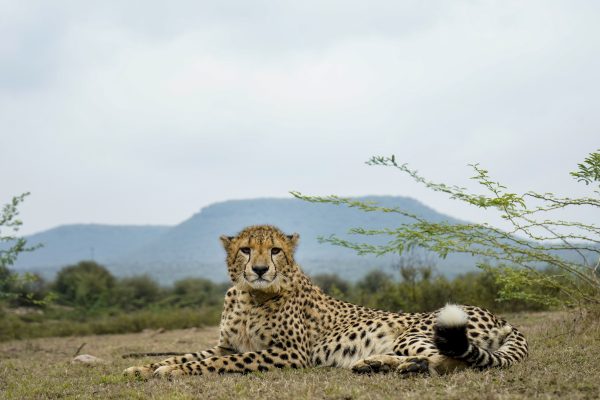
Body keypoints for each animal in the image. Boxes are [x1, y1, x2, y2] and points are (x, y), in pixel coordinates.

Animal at [124, 224, 528, 379]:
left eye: (275, 250)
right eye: (245, 250)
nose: (259, 269)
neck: (250, 296)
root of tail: (500, 316)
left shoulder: (290, 354)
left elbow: (223, 362)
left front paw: (172, 371)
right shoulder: (225, 344)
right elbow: (189, 354)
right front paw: (144, 367)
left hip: (418, 330)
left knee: (454, 361)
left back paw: (403, 366)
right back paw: (374, 363)